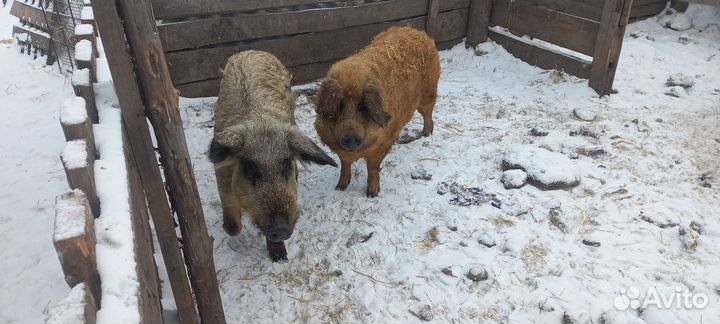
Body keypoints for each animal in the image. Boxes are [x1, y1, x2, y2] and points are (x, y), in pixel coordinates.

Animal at [208, 51, 338, 264]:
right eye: (251, 169)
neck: (261, 124)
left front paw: (280, 258)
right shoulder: (222, 181)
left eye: (286, 166)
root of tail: (252, 51)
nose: (281, 228)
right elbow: (233, 227)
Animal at [314, 26, 438, 197]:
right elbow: (344, 164)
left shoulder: (382, 143)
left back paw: (425, 134)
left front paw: (372, 194)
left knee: (428, 113)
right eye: (339, 106)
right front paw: (340, 187)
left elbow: (372, 168)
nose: (351, 136)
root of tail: (418, 32)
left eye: (363, 107)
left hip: (429, 92)